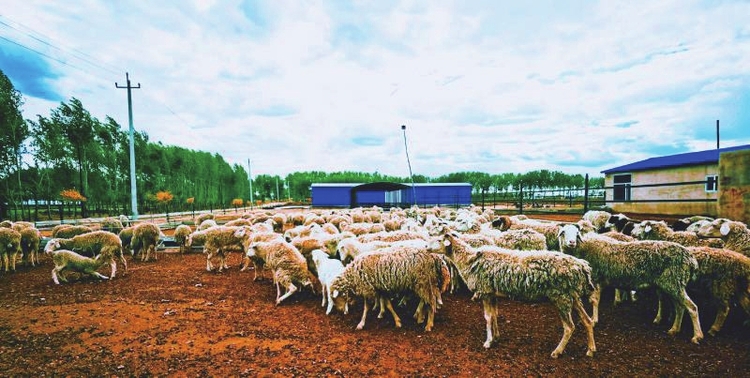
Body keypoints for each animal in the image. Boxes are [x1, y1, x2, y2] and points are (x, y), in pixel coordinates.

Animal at [560, 224, 704, 346]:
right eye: (564, 233)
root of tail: (691, 259)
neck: (583, 248)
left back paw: (697, 336)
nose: (571, 242)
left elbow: (594, 300)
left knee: (692, 307)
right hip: (671, 285)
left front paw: (594, 319)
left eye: (576, 233)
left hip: (674, 282)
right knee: (680, 307)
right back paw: (674, 329)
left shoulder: (596, 278)